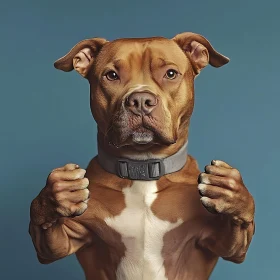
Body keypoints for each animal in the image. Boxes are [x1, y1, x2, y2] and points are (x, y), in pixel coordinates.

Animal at [29, 33, 256, 280]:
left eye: (170, 74)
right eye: (112, 75)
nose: (140, 101)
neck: (143, 169)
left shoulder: (218, 240)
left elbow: (238, 236)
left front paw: (231, 194)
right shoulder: (66, 239)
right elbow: (44, 235)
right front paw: (55, 196)